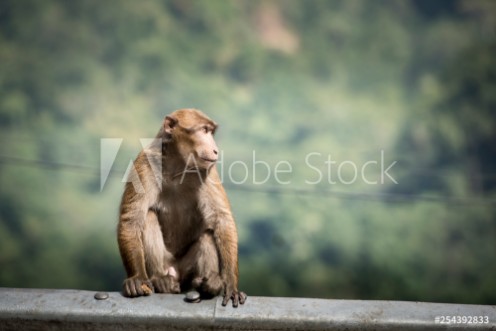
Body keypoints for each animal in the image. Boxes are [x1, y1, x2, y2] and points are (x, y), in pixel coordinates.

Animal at [116, 109, 248, 308]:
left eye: (210, 131)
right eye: (203, 130)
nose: (215, 149)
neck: (177, 166)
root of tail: (176, 272)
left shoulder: (207, 170)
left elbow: (222, 219)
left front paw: (230, 284)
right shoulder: (144, 163)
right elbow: (131, 219)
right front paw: (137, 278)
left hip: (187, 271)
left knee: (207, 236)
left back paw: (209, 284)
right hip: (166, 263)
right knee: (149, 217)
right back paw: (160, 280)